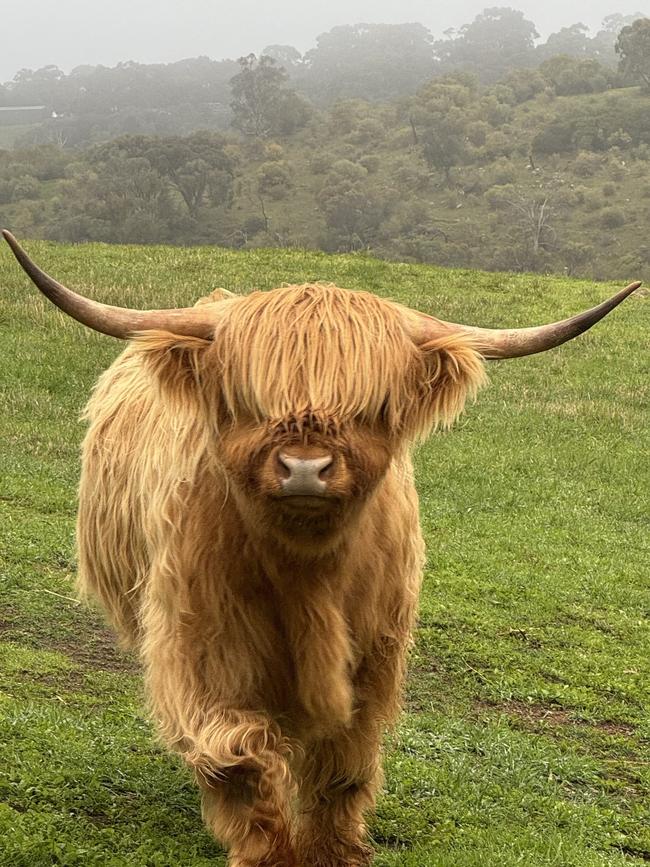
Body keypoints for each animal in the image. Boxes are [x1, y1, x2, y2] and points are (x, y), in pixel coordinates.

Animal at [0, 231, 636, 867]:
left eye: (372, 406)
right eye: (249, 400)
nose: (305, 468)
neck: (308, 574)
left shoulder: (373, 655)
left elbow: (343, 763)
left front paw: (335, 851)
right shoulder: (202, 642)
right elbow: (238, 753)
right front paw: (269, 850)